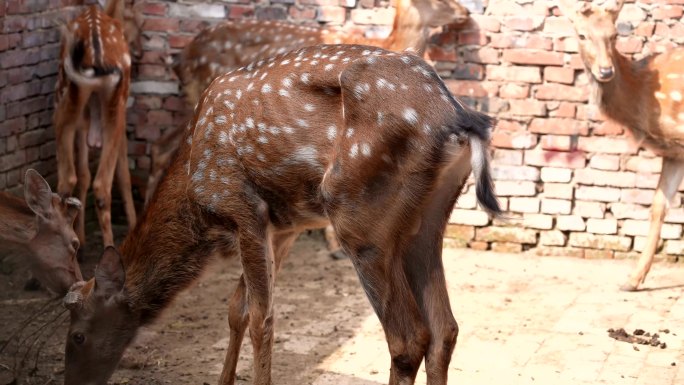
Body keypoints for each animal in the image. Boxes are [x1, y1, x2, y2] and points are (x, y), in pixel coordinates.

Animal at [55, 0, 142, 249]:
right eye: (138, 19)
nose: (140, 52)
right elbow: (123, 173)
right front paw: (134, 224)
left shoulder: (84, 121)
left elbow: (83, 174)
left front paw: (82, 237)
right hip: (115, 104)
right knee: (101, 184)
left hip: (70, 97)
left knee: (68, 180)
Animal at [61, 44, 500, 384]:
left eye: (78, 334)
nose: (74, 380)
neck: (195, 193)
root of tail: (461, 119)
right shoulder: (285, 226)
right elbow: (236, 309)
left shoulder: (242, 207)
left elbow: (261, 318)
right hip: (427, 223)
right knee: (445, 330)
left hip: (359, 216)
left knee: (408, 339)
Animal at [560, 0, 684, 290]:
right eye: (582, 35)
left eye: (614, 35)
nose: (606, 71)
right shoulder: (674, 152)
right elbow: (659, 206)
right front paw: (633, 280)